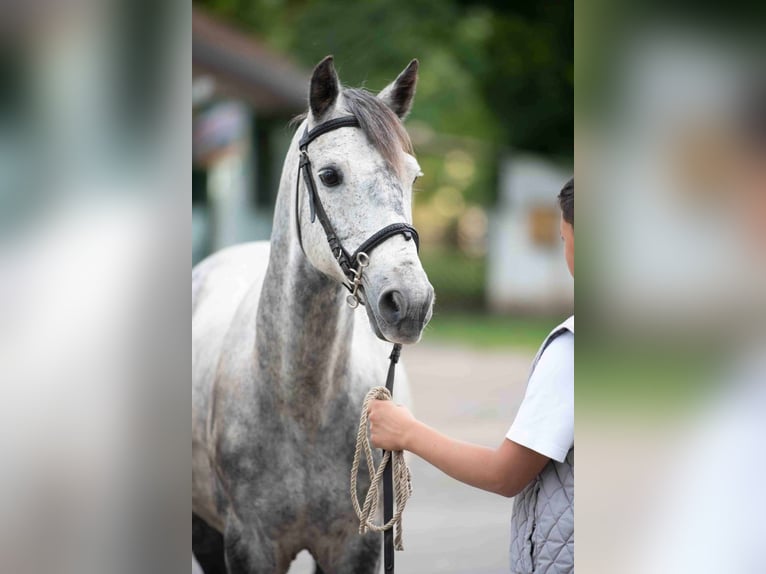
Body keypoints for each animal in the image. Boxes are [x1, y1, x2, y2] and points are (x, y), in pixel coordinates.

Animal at [191, 55, 436, 574]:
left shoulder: (354, 546)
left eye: (413, 177)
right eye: (329, 175)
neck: (301, 404)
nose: (410, 301)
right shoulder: (249, 545)